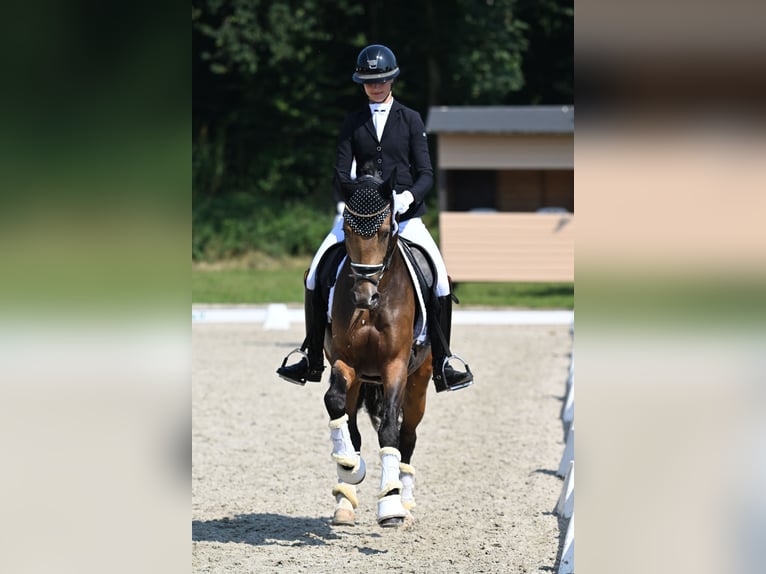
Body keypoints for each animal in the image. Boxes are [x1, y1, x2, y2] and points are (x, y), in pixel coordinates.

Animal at [322, 168, 436, 532]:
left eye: (385, 232)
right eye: (346, 232)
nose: (363, 297)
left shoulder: (395, 366)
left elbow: (390, 431)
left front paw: (391, 506)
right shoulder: (345, 362)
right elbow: (335, 404)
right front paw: (349, 466)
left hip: (419, 382)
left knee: (408, 436)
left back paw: (406, 502)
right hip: (360, 381)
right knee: (352, 424)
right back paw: (345, 500)